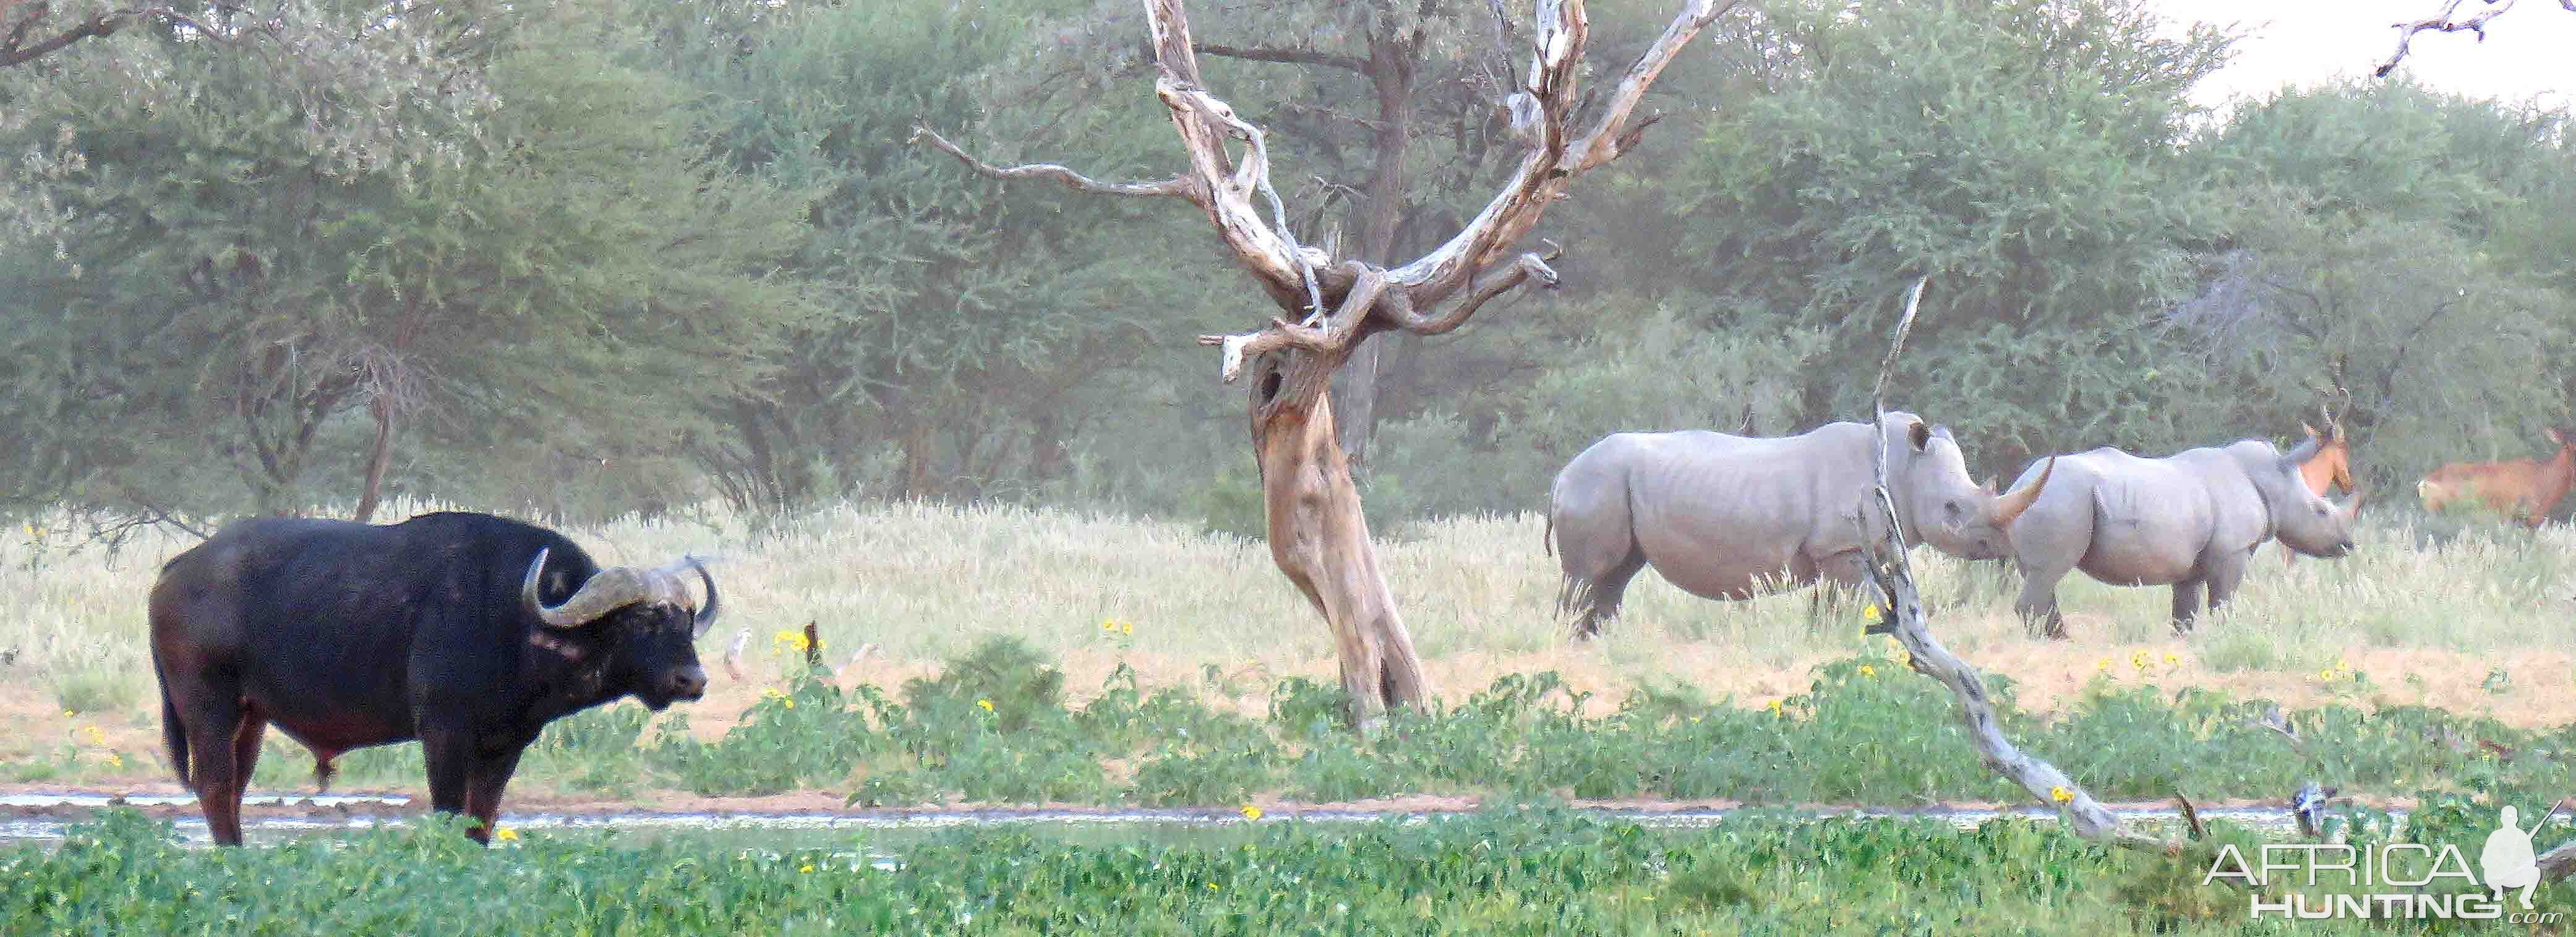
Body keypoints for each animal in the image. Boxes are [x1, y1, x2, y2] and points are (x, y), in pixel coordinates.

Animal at [152, 510, 721, 844]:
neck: (515, 618)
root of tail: (176, 570)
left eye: (686, 619)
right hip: (208, 706)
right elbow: (448, 810)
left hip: (251, 717)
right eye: (642, 620)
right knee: (214, 783)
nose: (691, 680)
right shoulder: (444, 732)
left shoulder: (506, 744)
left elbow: (481, 817)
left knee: (234, 787)